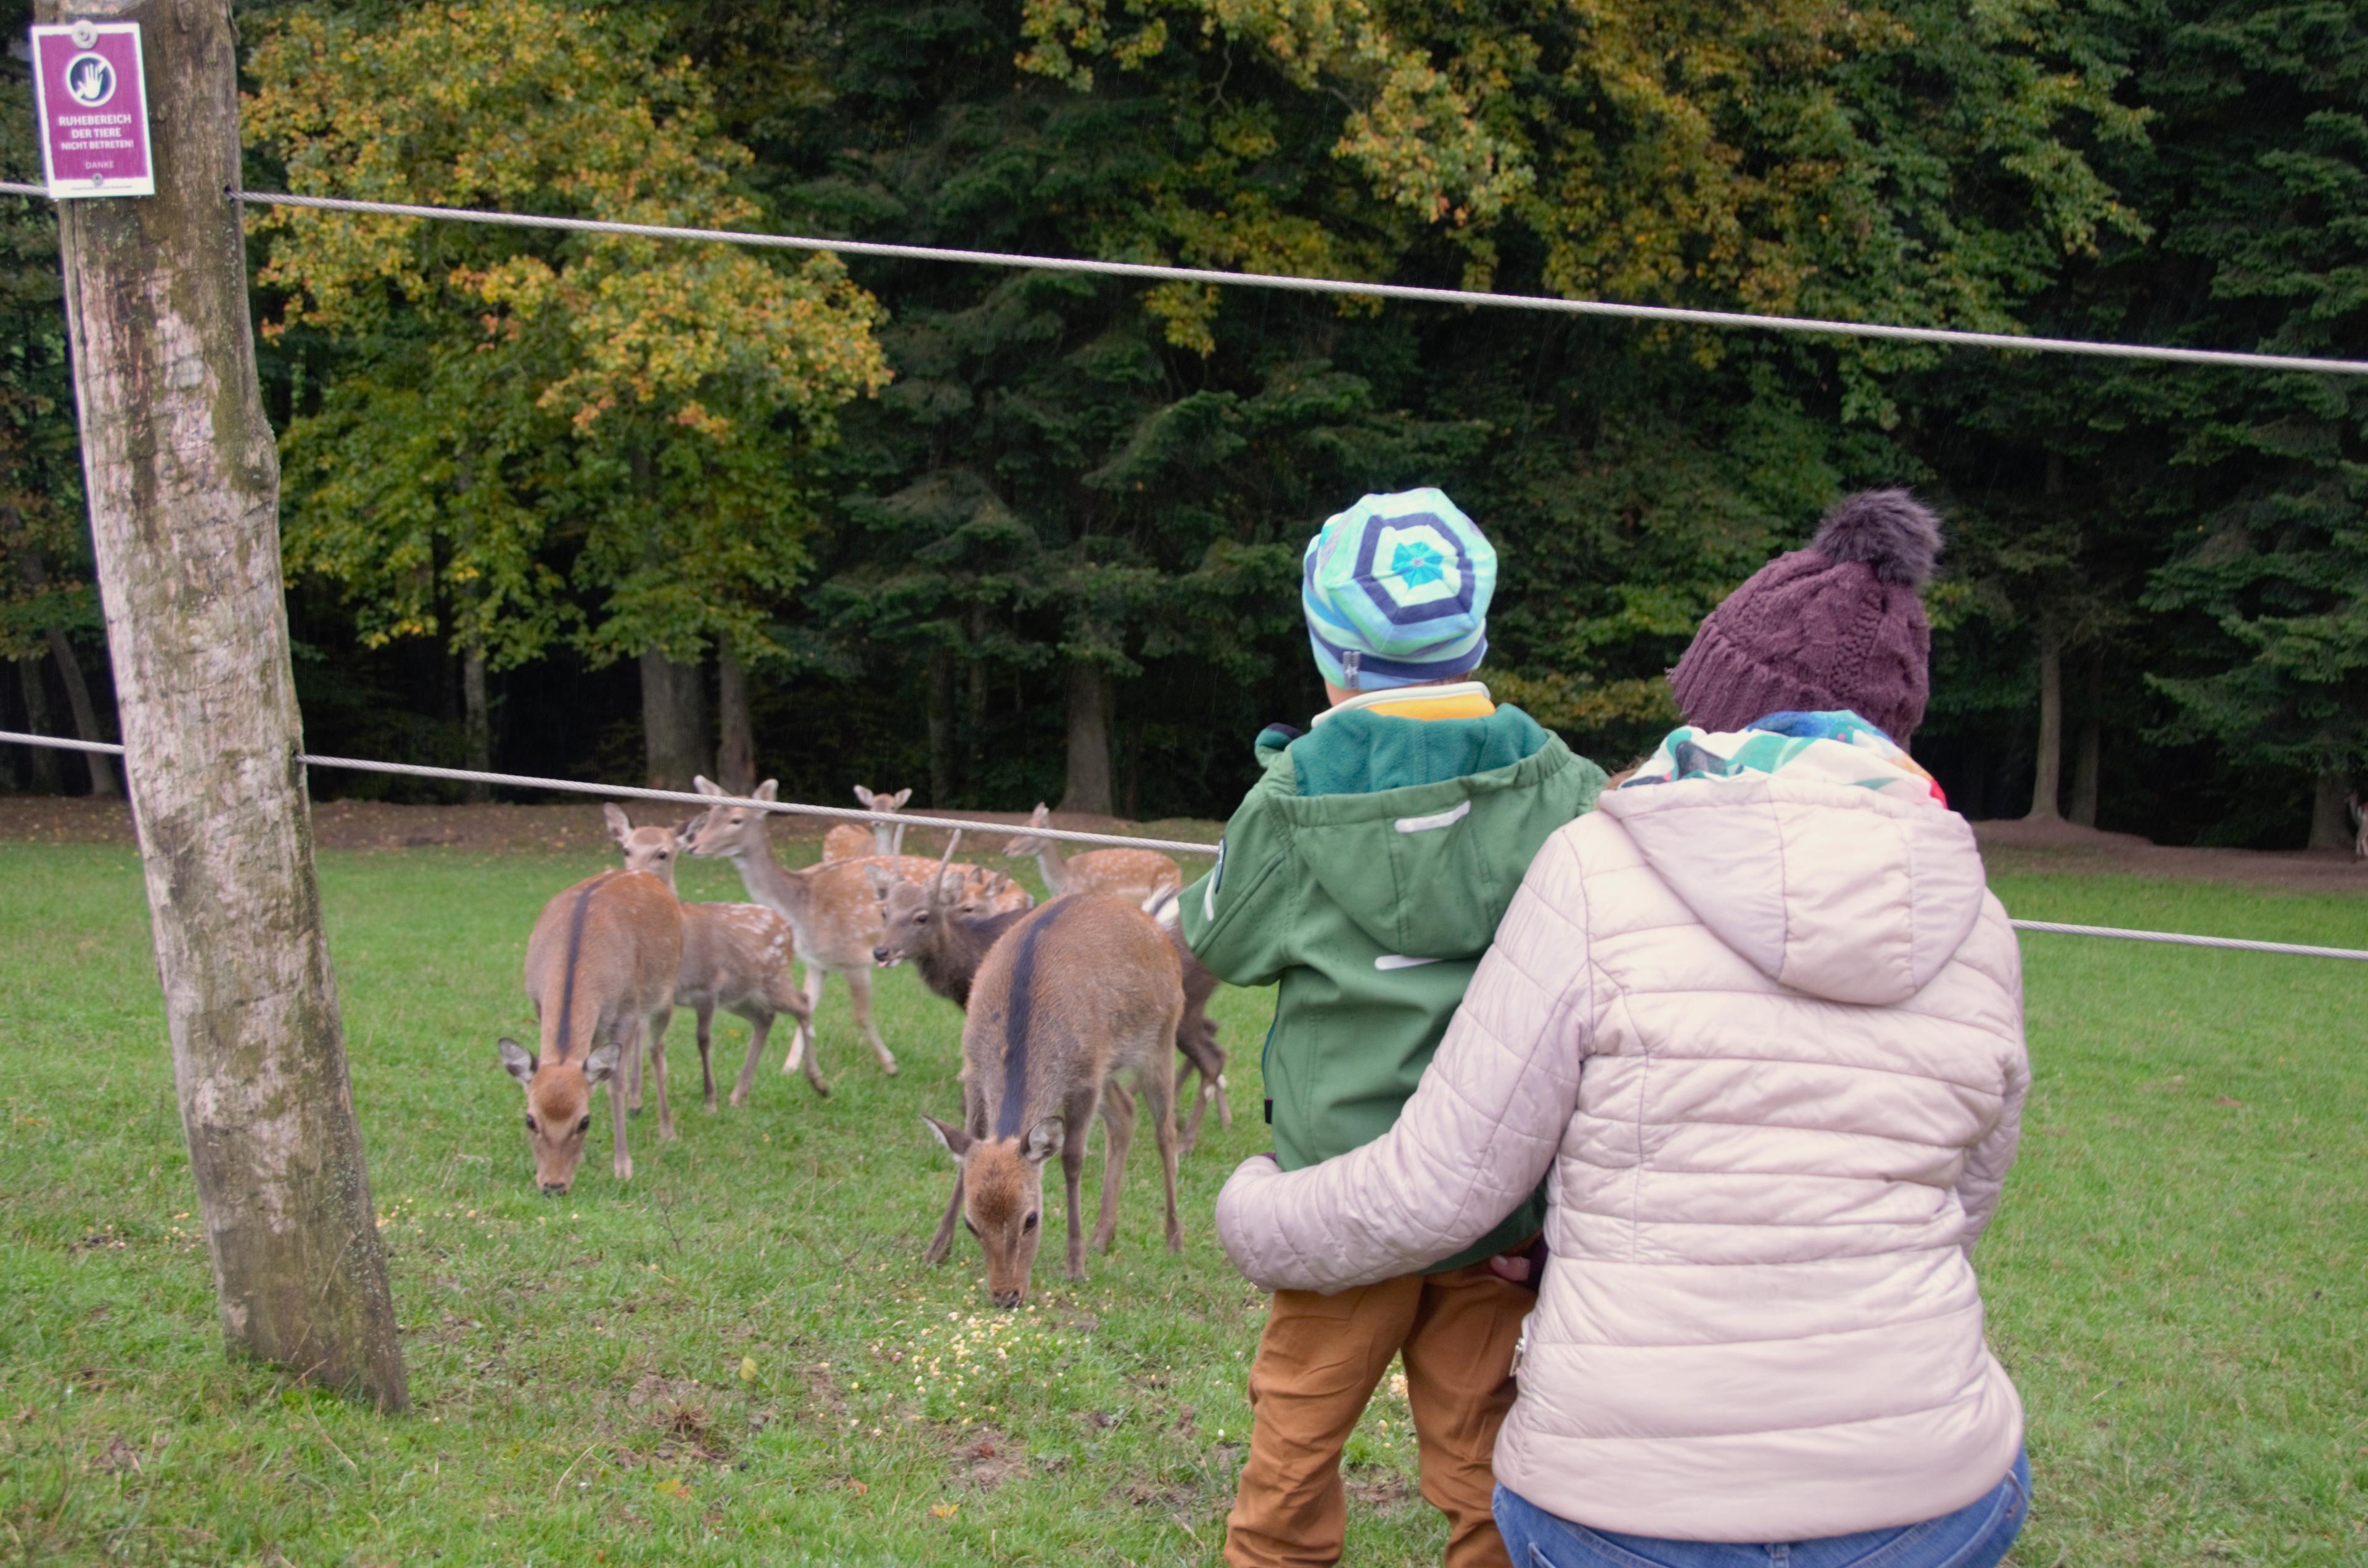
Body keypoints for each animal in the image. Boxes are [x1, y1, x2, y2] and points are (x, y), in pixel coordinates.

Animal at [500, 871, 681, 1194]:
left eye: (585, 1122)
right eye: (530, 1120)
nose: (553, 1186)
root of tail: (643, 874)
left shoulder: (626, 1013)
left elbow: (615, 1085)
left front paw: (623, 1167)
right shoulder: (539, 1004)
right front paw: (583, 1159)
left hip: (665, 993)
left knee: (656, 1050)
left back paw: (667, 1130)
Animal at [606, 810, 829, 1104]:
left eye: (662, 854)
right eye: (626, 850)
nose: (635, 877)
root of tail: (786, 927)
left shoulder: (707, 986)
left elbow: (700, 1038)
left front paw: (708, 1097)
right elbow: (644, 1039)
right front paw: (637, 1097)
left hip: (773, 979)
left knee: (802, 1004)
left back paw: (819, 1083)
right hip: (740, 996)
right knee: (765, 1018)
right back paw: (738, 1094)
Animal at [691, 776, 904, 1080]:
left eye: (736, 820)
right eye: (709, 815)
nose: (694, 846)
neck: (801, 909)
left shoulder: (854, 957)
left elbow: (861, 1016)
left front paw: (890, 1064)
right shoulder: (817, 962)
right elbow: (807, 1006)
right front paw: (790, 1067)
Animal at [918, 890, 1184, 1307]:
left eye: (1032, 1218)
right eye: (971, 1223)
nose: (1006, 1295)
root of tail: (1155, 920)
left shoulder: (1084, 1080)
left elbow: (1072, 1160)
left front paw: (1075, 1266)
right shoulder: (973, 1071)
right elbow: (965, 1155)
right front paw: (935, 1250)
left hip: (1160, 1038)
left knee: (1166, 1133)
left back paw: (1173, 1240)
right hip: (1108, 1065)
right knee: (1125, 1112)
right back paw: (1102, 1238)